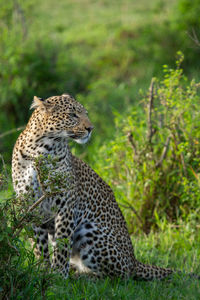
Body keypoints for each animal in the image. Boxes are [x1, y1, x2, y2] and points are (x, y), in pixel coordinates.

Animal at [11, 93, 173, 278]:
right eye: (73, 115)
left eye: (85, 114)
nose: (91, 128)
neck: (40, 149)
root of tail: (134, 260)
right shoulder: (31, 206)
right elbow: (39, 246)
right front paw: (41, 271)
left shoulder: (66, 206)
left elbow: (62, 245)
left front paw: (57, 276)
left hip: (90, 231)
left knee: (118, 275)